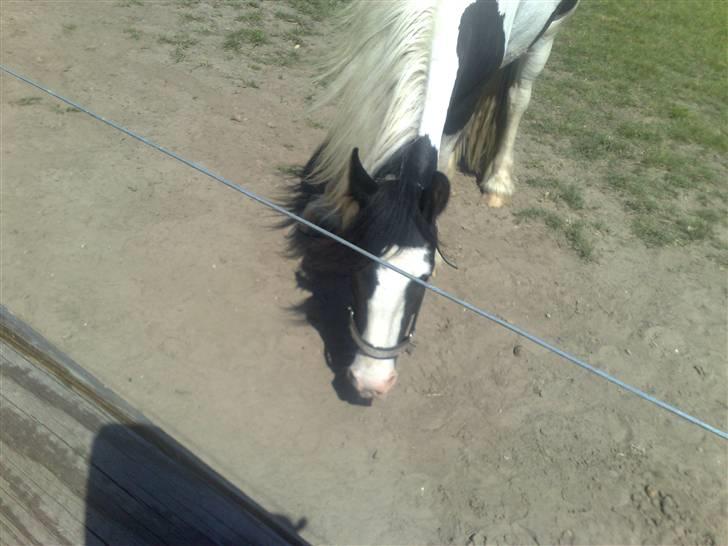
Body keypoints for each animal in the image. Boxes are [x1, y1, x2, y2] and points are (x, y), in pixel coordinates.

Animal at [288, 0, 576, 400]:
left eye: (423, 280)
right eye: (356, 266)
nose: (372, 381)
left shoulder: (464, 98)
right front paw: (330, 208)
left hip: (549, 33)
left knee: (519, 96)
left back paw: (498, 182)